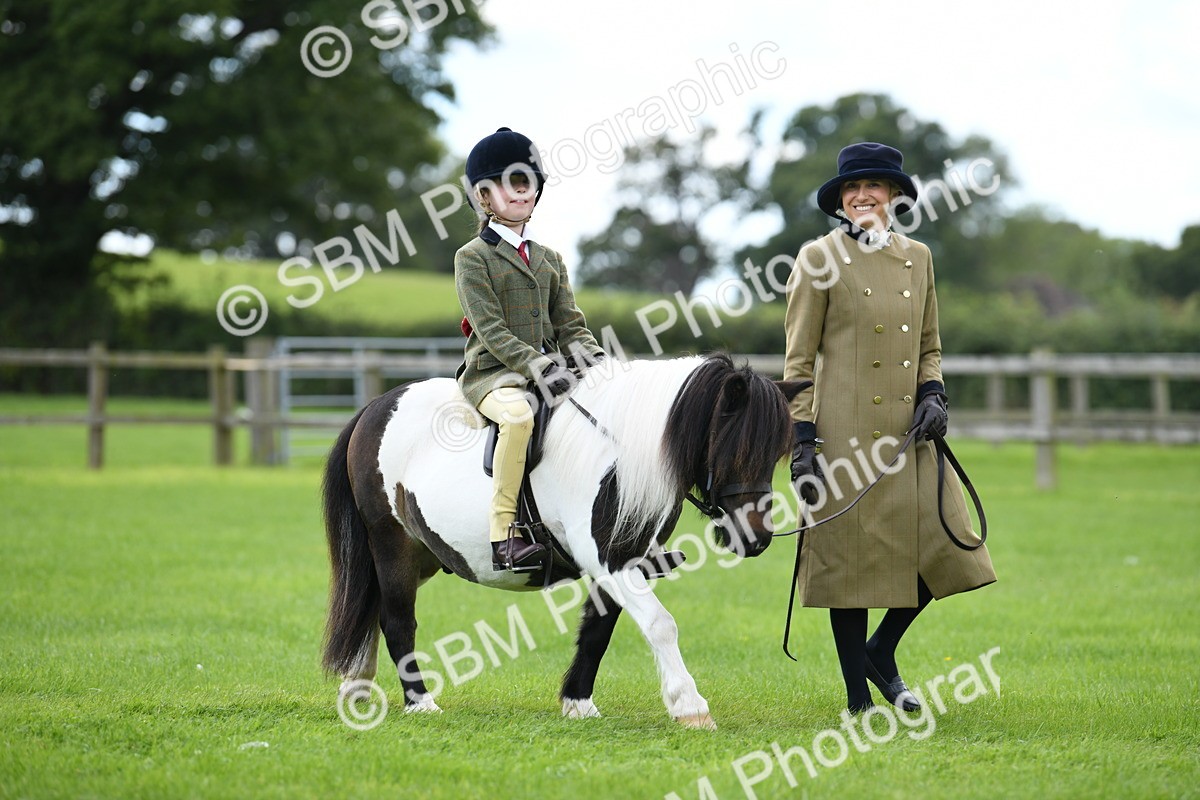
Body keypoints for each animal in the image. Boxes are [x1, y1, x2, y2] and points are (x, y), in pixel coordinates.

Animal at [320, 352, 807, 729]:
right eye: (735, 448)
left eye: (776, 455)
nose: (755, 538)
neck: (620, 450)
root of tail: (375, 407)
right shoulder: (611, 561)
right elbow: (660, 624)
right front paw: (690, 706)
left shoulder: (617, 564)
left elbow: (597, 630)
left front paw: (578, 703)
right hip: (392, 546)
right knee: (396, 621)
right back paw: (420, 702)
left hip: (423, 554)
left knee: (372, 608)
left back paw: (357, 687)